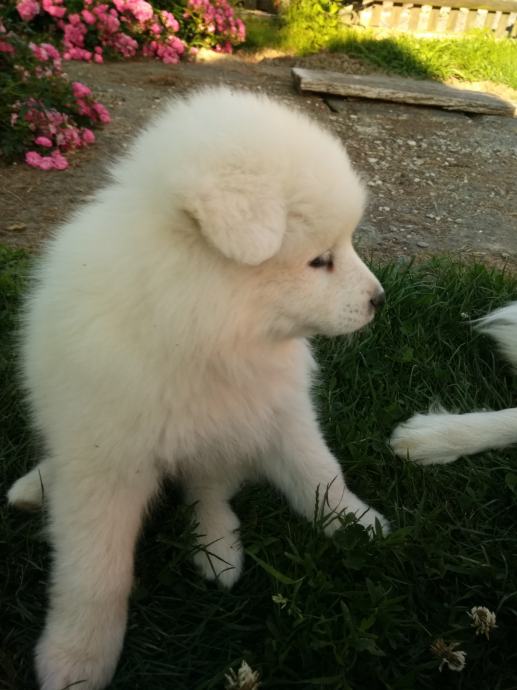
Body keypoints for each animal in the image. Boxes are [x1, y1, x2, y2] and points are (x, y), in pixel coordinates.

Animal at [8, 87, 388, 688]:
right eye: (319, 260)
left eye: (345, 246)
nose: (380, 300)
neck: (204, 334)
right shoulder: (106, 463)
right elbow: (95, 572)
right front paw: (78, 660)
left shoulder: (279, 409)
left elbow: (317, 470)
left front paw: (355, 522)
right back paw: (35, 485)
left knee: (208, 489)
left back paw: (219, 552)